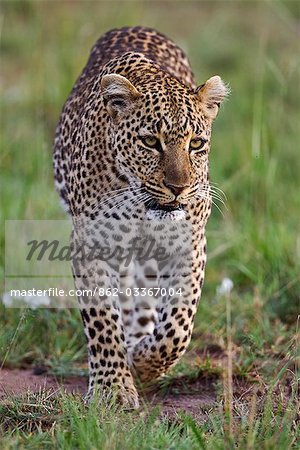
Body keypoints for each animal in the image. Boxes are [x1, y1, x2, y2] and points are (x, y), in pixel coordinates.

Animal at [53, 26, 227, 410]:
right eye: (150, 141)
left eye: (196, 143)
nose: (178, 188)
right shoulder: (93, 247)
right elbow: (102, 319)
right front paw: (112, 387)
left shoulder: (189, 246)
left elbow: (178, 325)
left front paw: (145, 364)